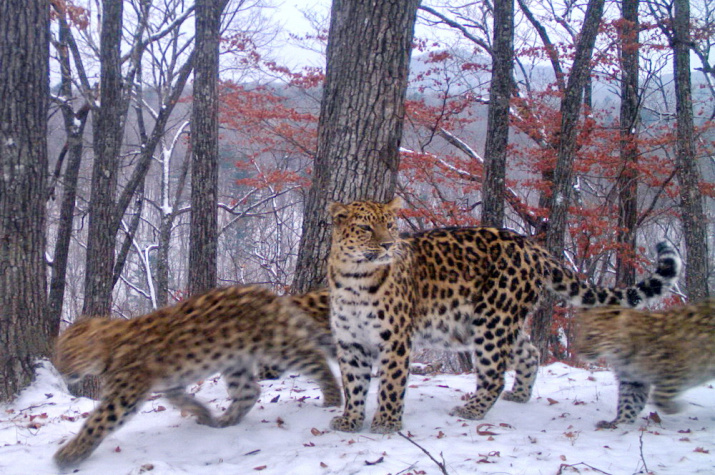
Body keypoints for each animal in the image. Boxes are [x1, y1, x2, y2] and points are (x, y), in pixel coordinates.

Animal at [51, 286, 342, 468]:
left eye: (69, 354)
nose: (60, 370)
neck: (110, 347)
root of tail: (269, 294)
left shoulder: (123, 396)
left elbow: (96, 423)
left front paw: (68, 455)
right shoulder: (171, 383)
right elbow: (180, 400)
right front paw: (204, 414)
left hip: (278, 345)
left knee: (315, 358)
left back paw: (333, 397)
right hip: (235, 361)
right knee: (249, 392)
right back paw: (225, 421)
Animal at [328, 198, 680, 436]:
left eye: (390, 225)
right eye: (365, 228)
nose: (388, 245)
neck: (355, 278)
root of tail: (533, 247)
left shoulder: (396, 339)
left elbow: (391, 382)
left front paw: (386, 423)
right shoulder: (349, 341)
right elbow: (353, 383)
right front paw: (350, 420)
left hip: (492, 318)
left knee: (494, 374)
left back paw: (470, 409)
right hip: (495, 319)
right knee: (530, 352)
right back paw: (520, 395)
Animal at [580, 300, 712, 430]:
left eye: (590, 336)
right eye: (578, 333)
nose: (578, 351)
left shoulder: (678, 369)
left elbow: (659, 395)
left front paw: (676, 408)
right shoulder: (633, 381)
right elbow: (628, 403)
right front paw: (619, 424)